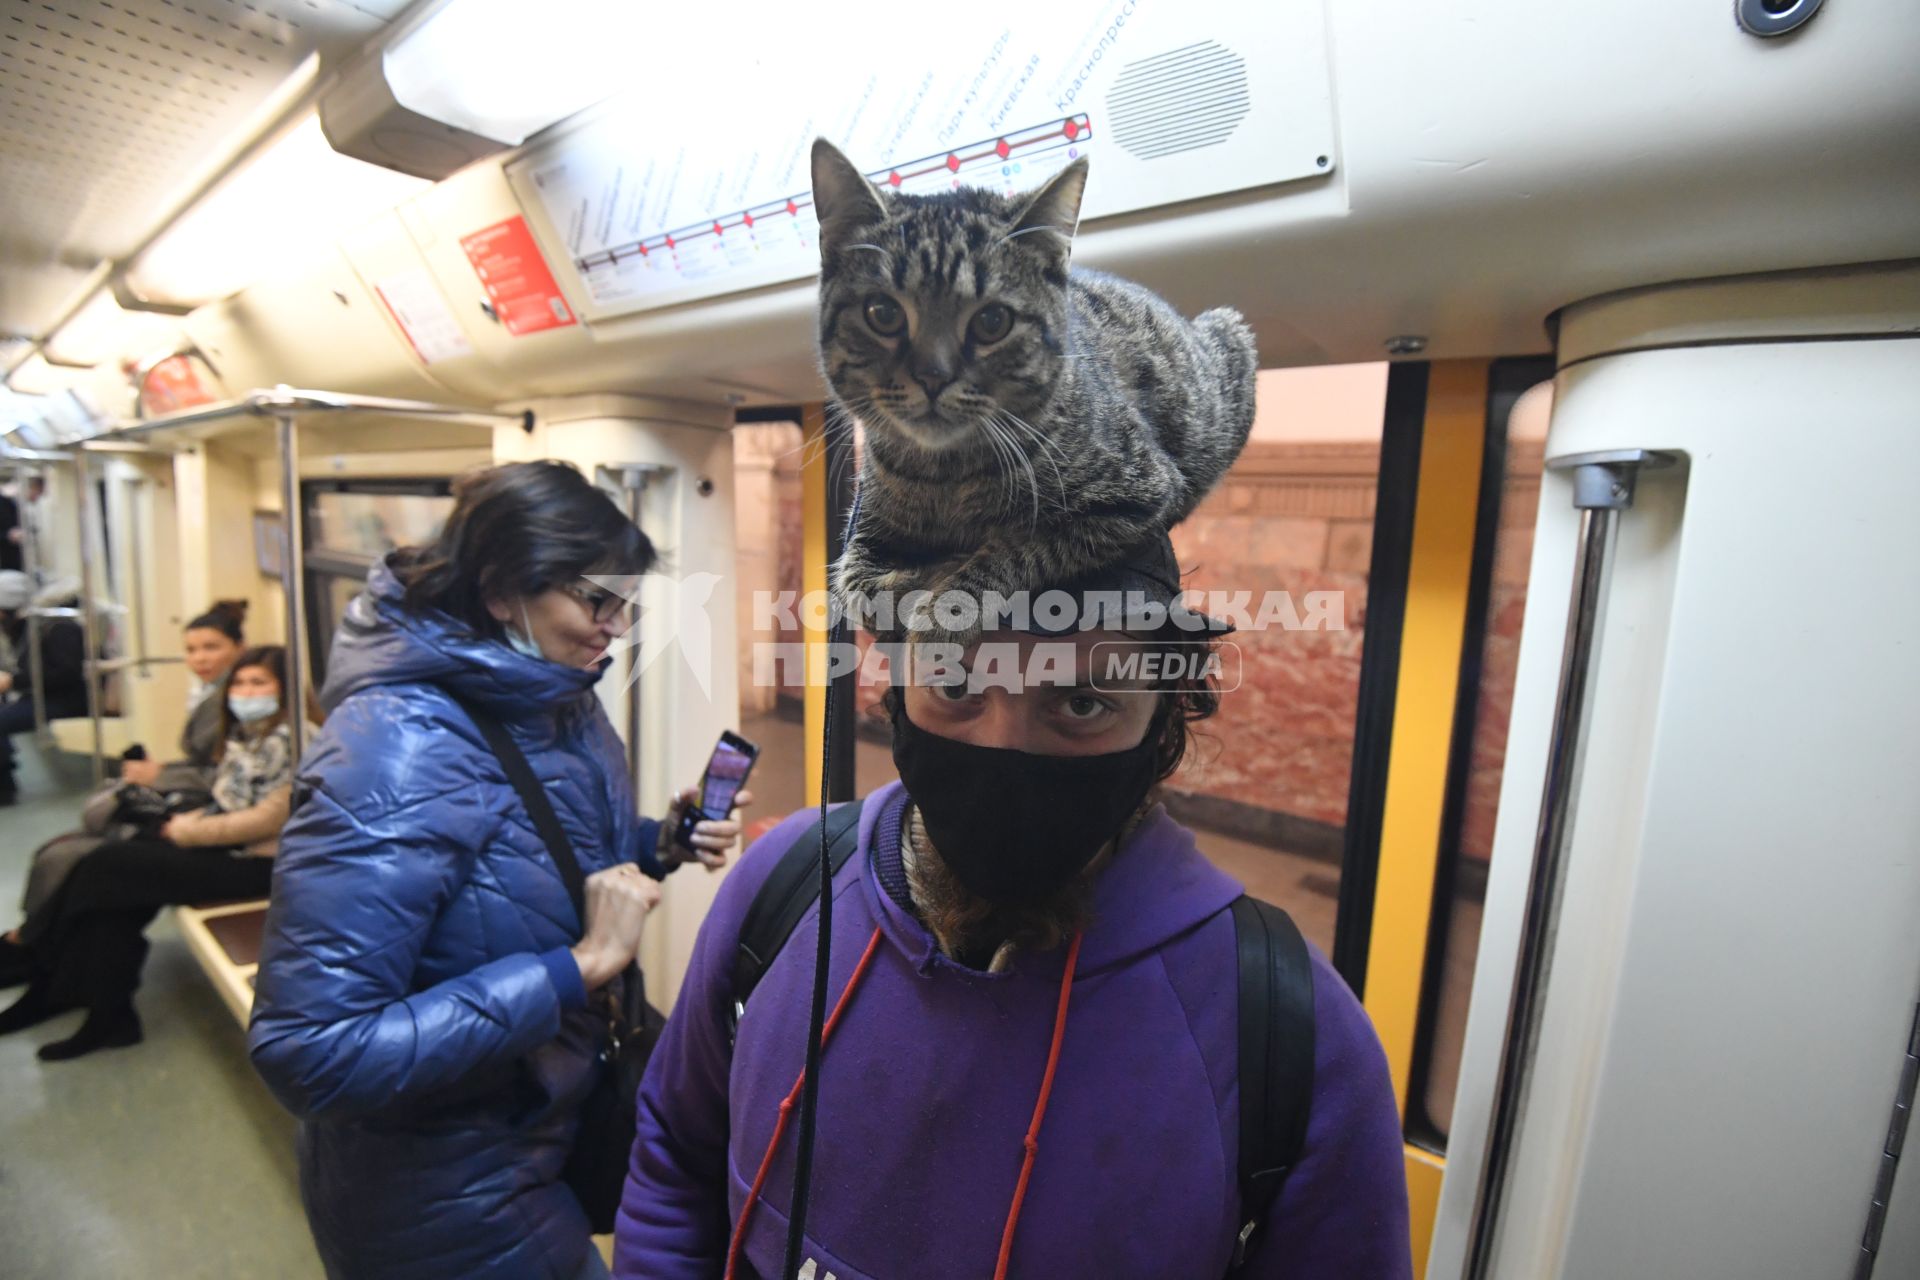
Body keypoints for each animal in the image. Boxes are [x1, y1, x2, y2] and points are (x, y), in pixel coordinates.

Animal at [802, 138, 1251, 652]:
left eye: (993, 321)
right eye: (883, 313)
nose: (933, 376)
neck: (944, 476)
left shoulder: (1133, 498)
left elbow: (1017, 548)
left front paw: (947, 604)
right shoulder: (866, 525)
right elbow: (854, 580)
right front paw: (903, 588)